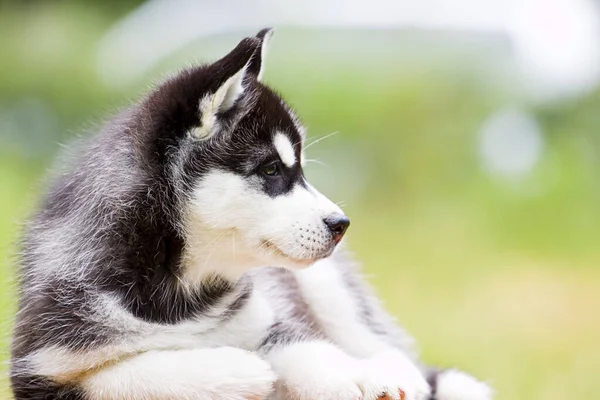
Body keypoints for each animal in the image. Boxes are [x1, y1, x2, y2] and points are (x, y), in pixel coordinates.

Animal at [9, 28, 492, 400]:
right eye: (271, 169)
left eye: (299, 168)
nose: (341, 225)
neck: (175, 295)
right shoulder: (42, 365)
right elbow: (119, 375)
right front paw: (231, 369)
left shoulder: (271, 318)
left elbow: (310, 350)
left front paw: (355, 377)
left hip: (327, 290)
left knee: (390, 349)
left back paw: (399, 372)